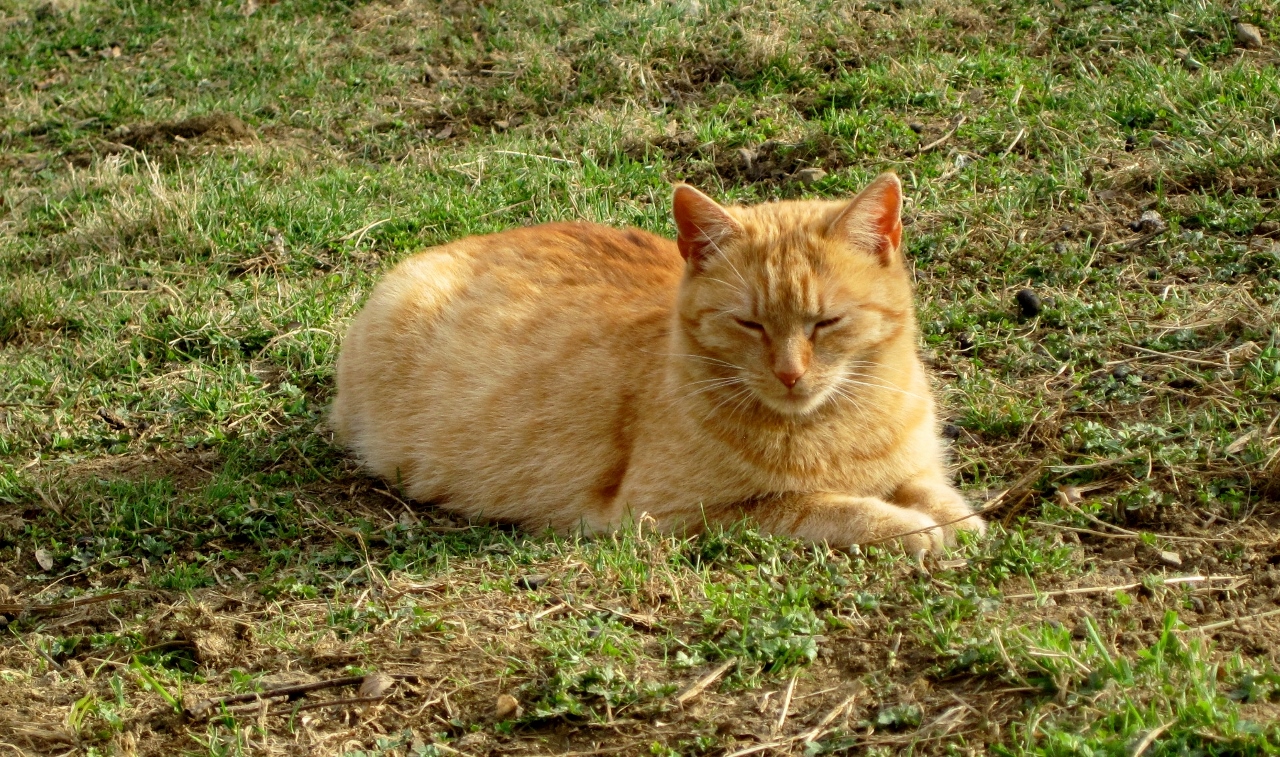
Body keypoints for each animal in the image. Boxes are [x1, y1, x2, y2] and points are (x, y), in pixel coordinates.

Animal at [330, 174, 977, 553]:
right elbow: (822, 508)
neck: (833, 427)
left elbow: (932, 489)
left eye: (826, 322)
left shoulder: (914, 465)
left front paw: (958, 521)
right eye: (749, 324)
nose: (790, 374)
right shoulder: (674, 515)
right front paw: (911, 529)